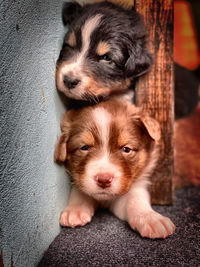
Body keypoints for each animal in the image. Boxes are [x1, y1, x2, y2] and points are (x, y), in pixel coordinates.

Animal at [54, 99, 175, 240]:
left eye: (126, 149)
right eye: (84, 147)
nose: (104, 179)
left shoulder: (134, 188)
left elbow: (136, 201)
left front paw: (151, 219)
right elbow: (80, 190)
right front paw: (75, 210)